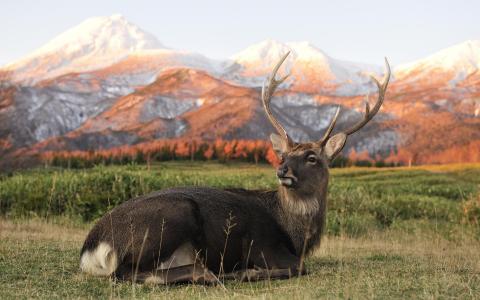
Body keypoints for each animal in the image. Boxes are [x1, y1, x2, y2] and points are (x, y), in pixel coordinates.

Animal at [80, 52, 392, 284]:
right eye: (283, 155)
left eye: (312, 157)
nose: (283, 171)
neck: (296, 234)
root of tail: (91, 248)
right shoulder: (264, 246)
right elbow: (300, 267)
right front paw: (248, 272)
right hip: (172, 216)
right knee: (126, 271)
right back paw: (214, 273)